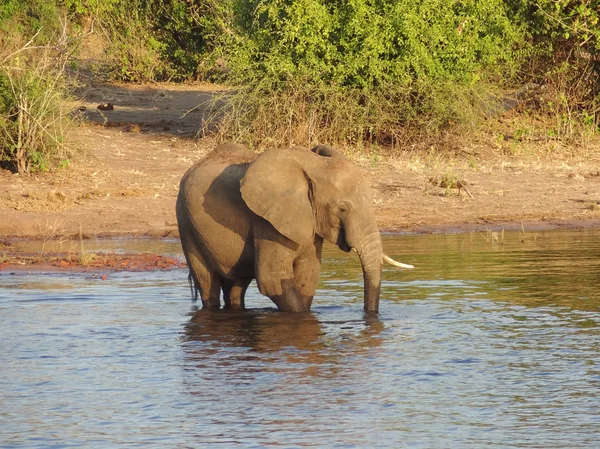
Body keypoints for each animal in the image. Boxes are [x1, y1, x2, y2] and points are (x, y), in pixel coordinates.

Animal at [176, 142, 412, 314]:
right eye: (342, 209)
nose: (369, 315)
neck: (313, 166)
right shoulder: (267, 221)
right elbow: (272, 279)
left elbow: (309, 276)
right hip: (187, 223)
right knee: (208, 285)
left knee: (236, 287)